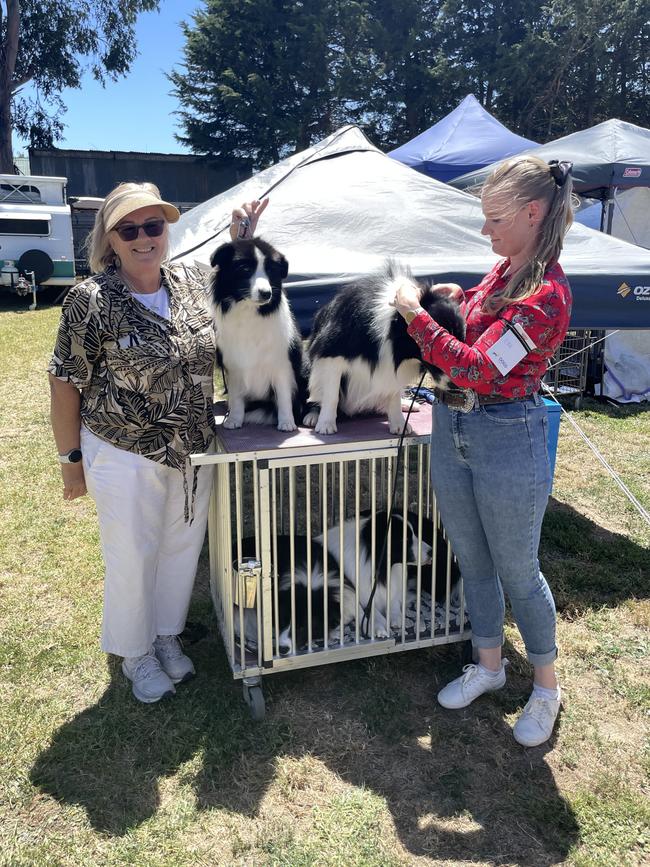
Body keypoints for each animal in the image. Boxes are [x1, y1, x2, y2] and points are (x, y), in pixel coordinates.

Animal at [209, 237, 308, 430]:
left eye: (271, 270)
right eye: (246, 269)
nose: (266, 293)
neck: (250, 312)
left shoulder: (281, 364)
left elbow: (284, 396)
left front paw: (287, 422)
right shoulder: (234, 366)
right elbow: (236, 397)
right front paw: (234, 419)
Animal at [302, 258, 464, 434]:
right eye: (433, 348)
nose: (457, 387)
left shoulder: (392, 366)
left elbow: (393, 393)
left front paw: (399, 423)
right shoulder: (330, 353)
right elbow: (331, 394)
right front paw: (325, 424)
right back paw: (313, 416)